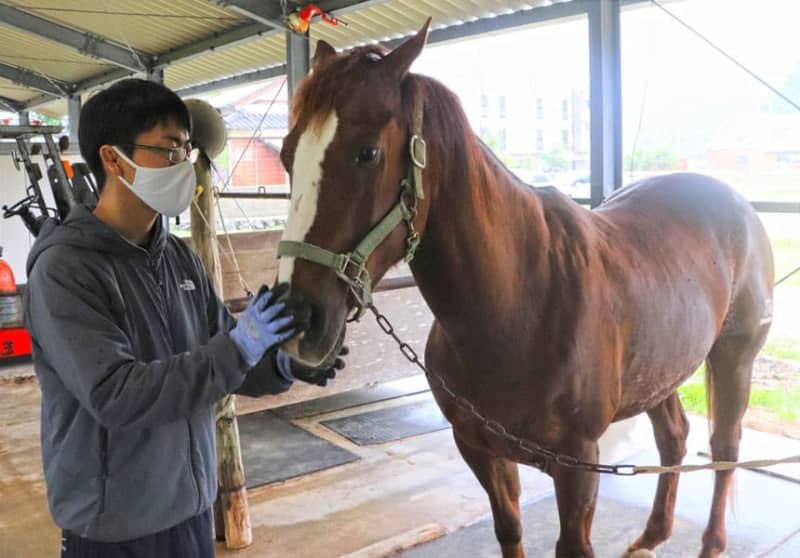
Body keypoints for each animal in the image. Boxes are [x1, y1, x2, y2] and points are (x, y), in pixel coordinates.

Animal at [276, 19, 776, 556]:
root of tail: (737, 205)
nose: (298, 320)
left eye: (368, 152)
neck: (519, 305)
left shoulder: (578, 467)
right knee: (674, 436)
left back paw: (710, 541)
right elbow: (509, 529)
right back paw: (651, 535)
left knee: (724, 447)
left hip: (734, 358)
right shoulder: (480, 448)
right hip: (662, 365)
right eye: (287, 155)